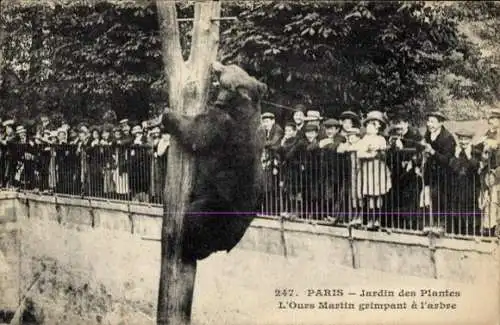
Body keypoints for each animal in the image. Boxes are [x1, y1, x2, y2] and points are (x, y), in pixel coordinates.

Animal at [162, 62, 268, 260]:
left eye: (227, 68)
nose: (215, 64)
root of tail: (229, 243)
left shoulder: (224, 125)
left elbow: (197, 132)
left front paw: (168, 114)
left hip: (221, 206)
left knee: (198, 217)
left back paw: (189, 249)